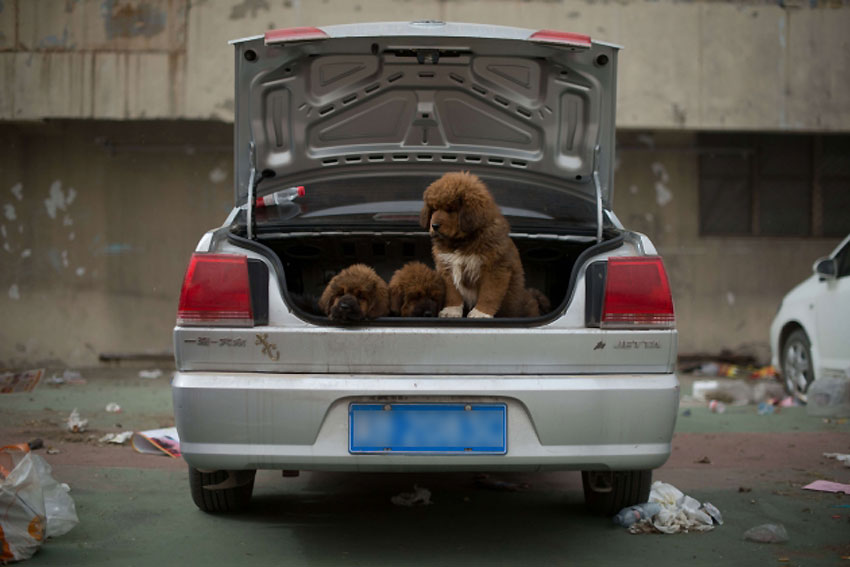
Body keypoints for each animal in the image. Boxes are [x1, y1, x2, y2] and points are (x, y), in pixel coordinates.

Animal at [420, 172, 540, 320]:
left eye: (451, 209)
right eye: (434, 209)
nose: (434, 226)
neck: (461, 241)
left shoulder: (495, 268)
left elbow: (489, 293)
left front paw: (480, 313)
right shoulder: (446, 266)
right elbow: (452, 292)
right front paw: (451, 310)